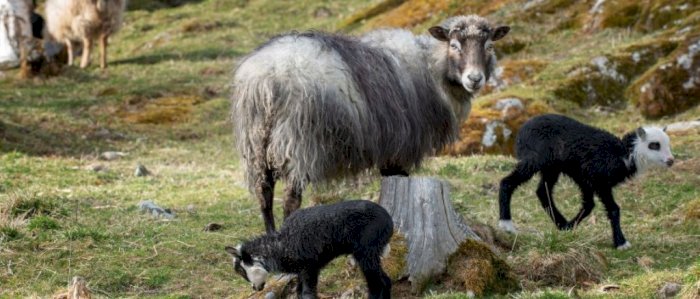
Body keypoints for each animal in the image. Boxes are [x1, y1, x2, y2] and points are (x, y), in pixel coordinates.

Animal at [228, 199, 396, 299]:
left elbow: (308, 294)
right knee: (386, 280)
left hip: (366, 251)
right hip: (371, 253)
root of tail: (389, 220)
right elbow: (299, 293)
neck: (281, 246)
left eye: (242, 270)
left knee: (376, 284)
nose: (255, 288)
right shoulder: (302, 271)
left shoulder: (310, 268)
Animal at [232, 14, 512, 234]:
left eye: (489, 46)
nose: (474, 79)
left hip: (256, 143)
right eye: (454, 45)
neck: (433, 67)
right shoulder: (399, 149)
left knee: (264, 194)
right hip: (298, 143)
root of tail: (267, 77)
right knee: (290, 200)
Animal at [494, 113, 676, 250]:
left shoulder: (585, 179)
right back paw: (506, 224)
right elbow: (613, 209)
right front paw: (621, 243)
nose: (671, 161)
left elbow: (589, 205)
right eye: (654, 145)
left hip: (552, 167)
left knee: (542, 191)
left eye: (668, 143)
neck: (622, 154)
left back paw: (561, 223)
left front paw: (569, 227)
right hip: (535, 159)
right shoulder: (599, 181)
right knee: (507, 182)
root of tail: (521, 131)